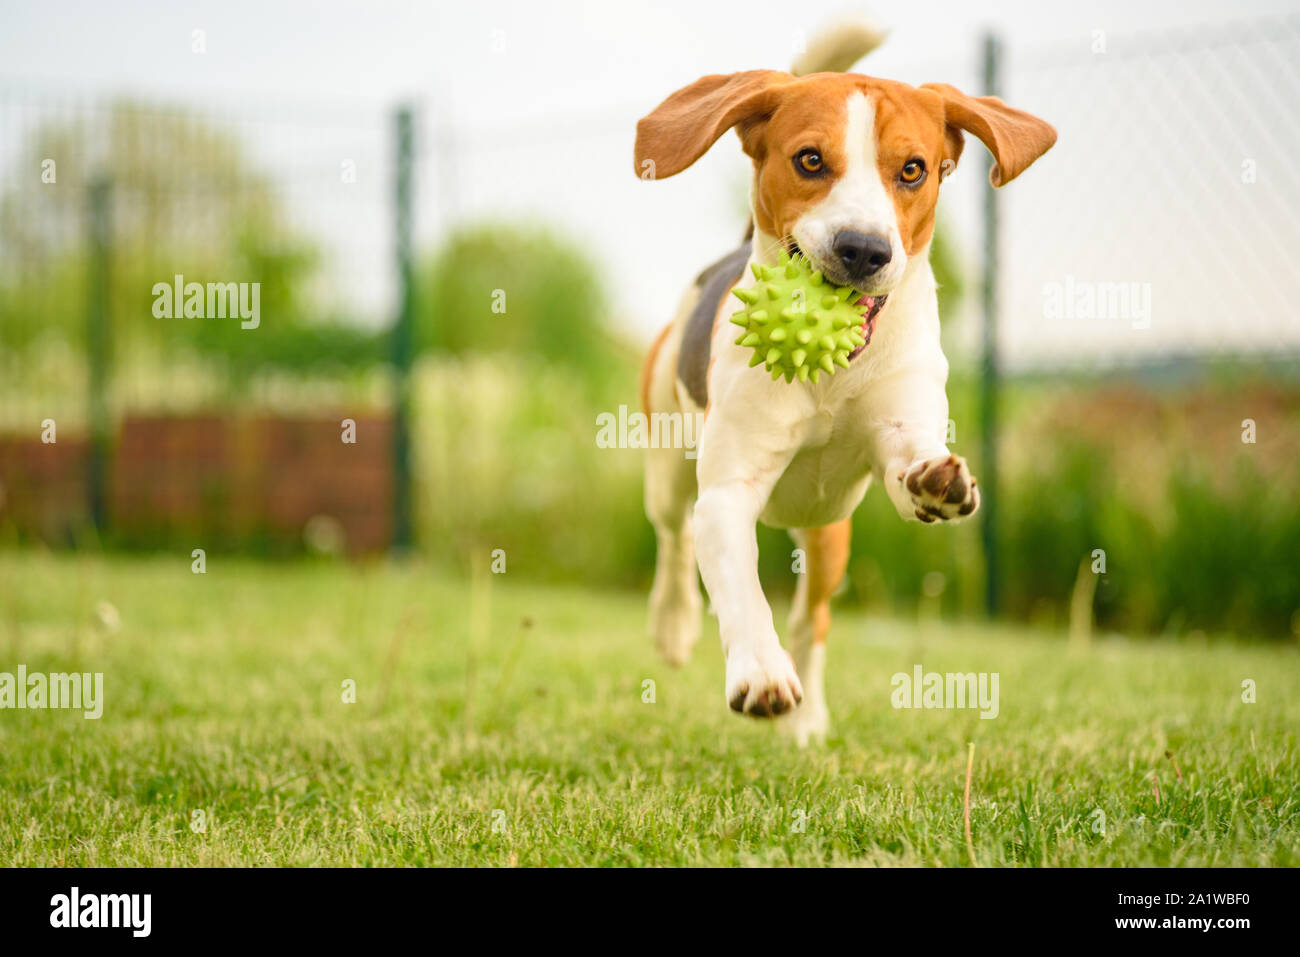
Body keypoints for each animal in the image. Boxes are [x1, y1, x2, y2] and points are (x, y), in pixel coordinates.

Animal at [637, 50, 1055, 738]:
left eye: (912, 169)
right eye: (810, 159)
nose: (863, 249)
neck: (834, 371)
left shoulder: (900, 434)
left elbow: (909, 469)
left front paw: (938, 484)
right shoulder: (726, 494)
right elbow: (741, 589)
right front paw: (760, 674)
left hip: (828, 532)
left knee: (813, 618)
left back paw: (807, 722)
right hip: (667, 461)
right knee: (673, 540)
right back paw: (674, 627)